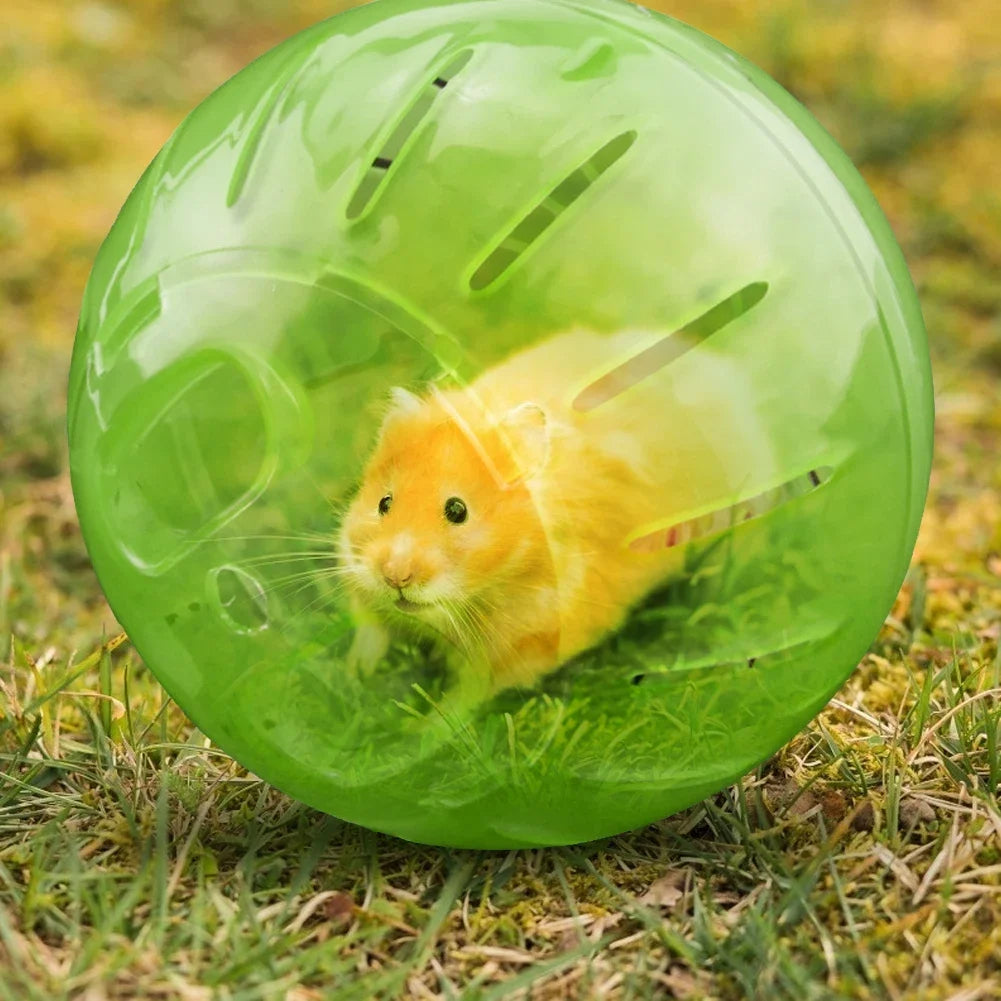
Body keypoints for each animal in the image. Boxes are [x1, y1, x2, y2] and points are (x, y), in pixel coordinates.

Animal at [337, 326, 775, 704]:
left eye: (457, 510)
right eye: (384, 503)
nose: (395, 576)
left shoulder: (527, 646)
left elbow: (466, 699)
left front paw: (425, 732)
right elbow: (370, 631)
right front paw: (356, 676)